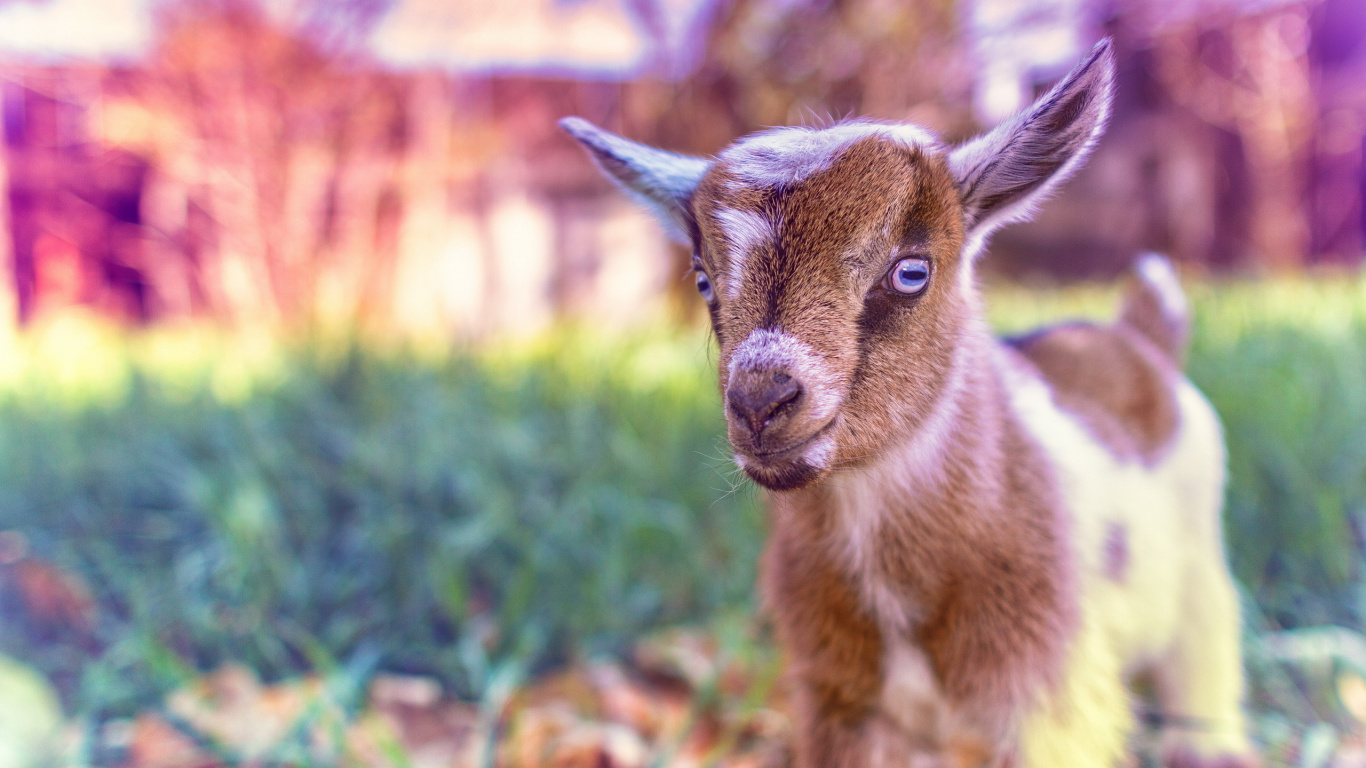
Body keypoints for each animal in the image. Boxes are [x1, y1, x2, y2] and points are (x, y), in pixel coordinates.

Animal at [561, 39, 1256, 768]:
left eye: (912, 271)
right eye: (702, 280)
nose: (760, 403)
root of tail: (1139, 336)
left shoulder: (1050, 698)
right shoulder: (839, 700)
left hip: (1202, 574)